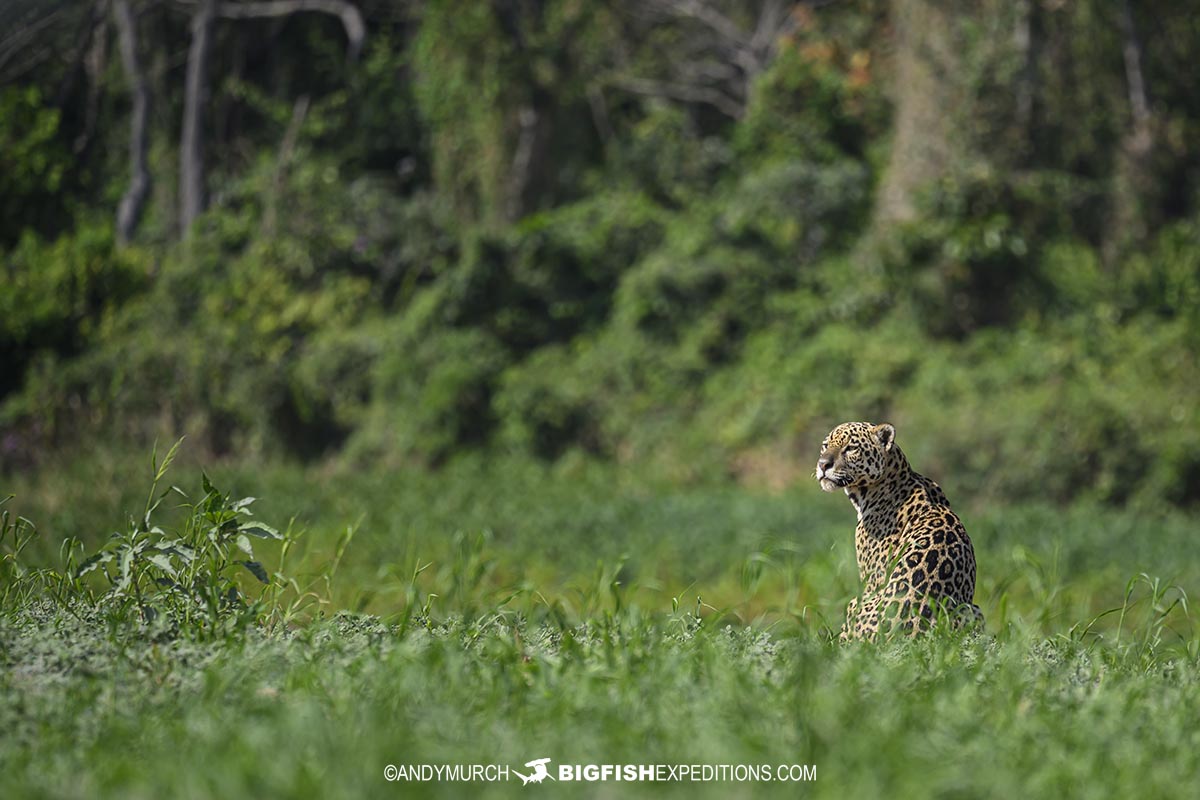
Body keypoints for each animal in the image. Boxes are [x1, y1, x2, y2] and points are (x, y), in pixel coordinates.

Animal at [816, 421, 982, 641]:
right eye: (825, 446)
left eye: (850, 448)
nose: (823, 464)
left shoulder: (871, 582)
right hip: (974, 610)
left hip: (855, 604)